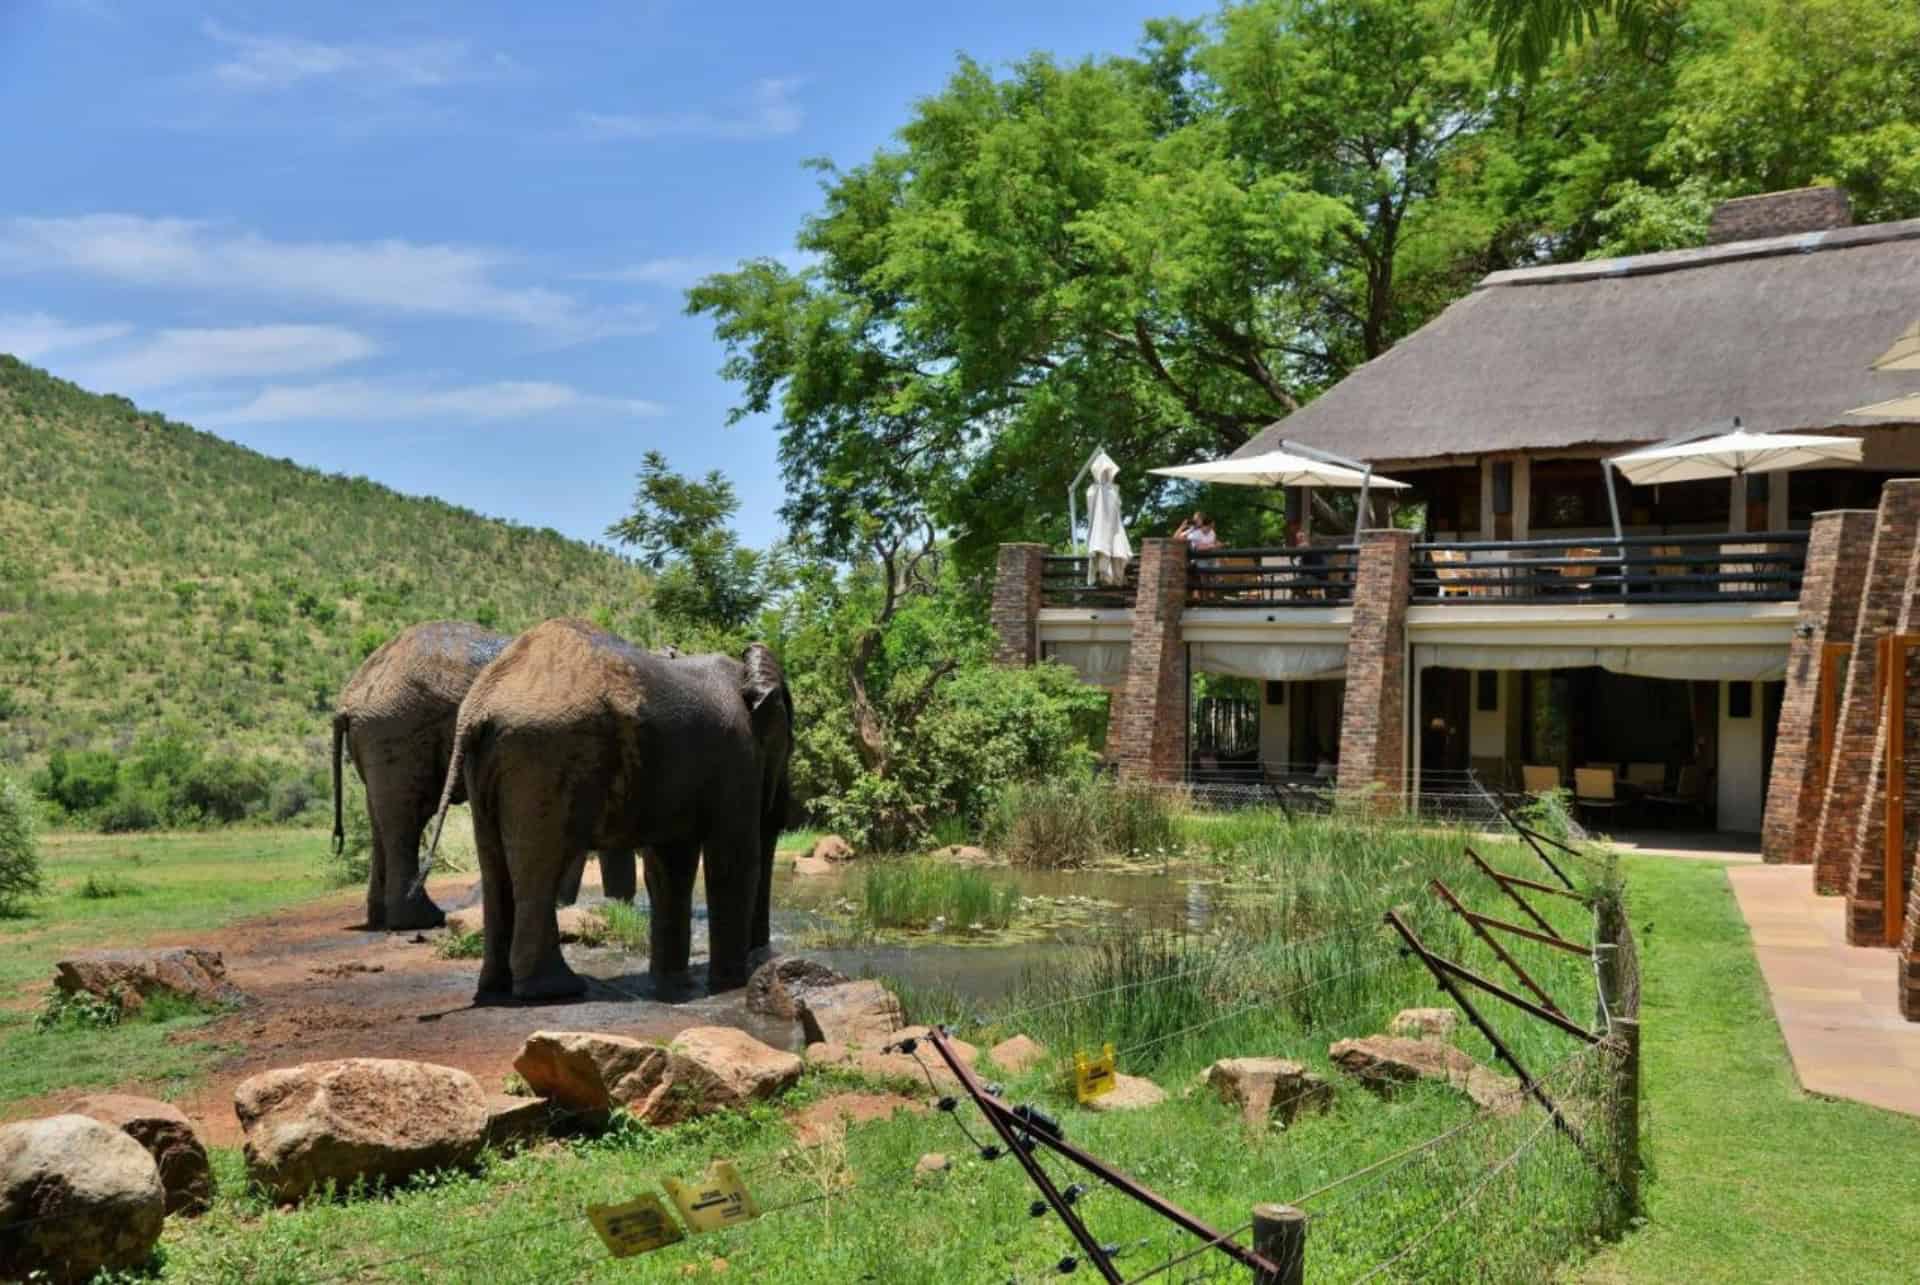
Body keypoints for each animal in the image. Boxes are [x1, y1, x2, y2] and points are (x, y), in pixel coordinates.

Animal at [334, 618, 656, 925]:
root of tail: (350, 697)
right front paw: (614, 907)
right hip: (398, 730)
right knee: (406, 821)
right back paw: (421, 920)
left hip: (377, 735)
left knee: (380, 820)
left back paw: (383, 918)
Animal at [424, 614, 791, 998]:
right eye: (788, 746)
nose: (766, 957)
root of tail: (479, 703)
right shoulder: (738, 758)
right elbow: (733, 861)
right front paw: (730, 986)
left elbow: (670, 866)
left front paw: (673, 985)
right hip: (542, 754)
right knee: (540, 864)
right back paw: (558, 989)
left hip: (490, 761)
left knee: (494, 864)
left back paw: (498, 989)